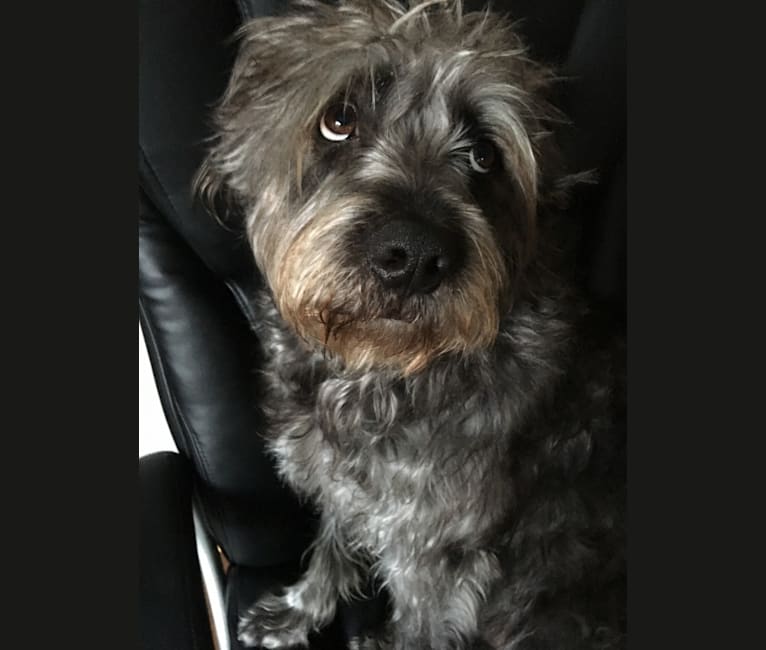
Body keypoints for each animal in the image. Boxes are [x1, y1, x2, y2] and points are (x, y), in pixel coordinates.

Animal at [195, 2, 628, 644]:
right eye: (339, 119)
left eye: (484, 155)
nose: (415, 256)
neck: (381, 371)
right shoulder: (346, 488)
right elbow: (331, 544)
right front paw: (300, 609)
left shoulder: (436, 556)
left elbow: (419, 626)